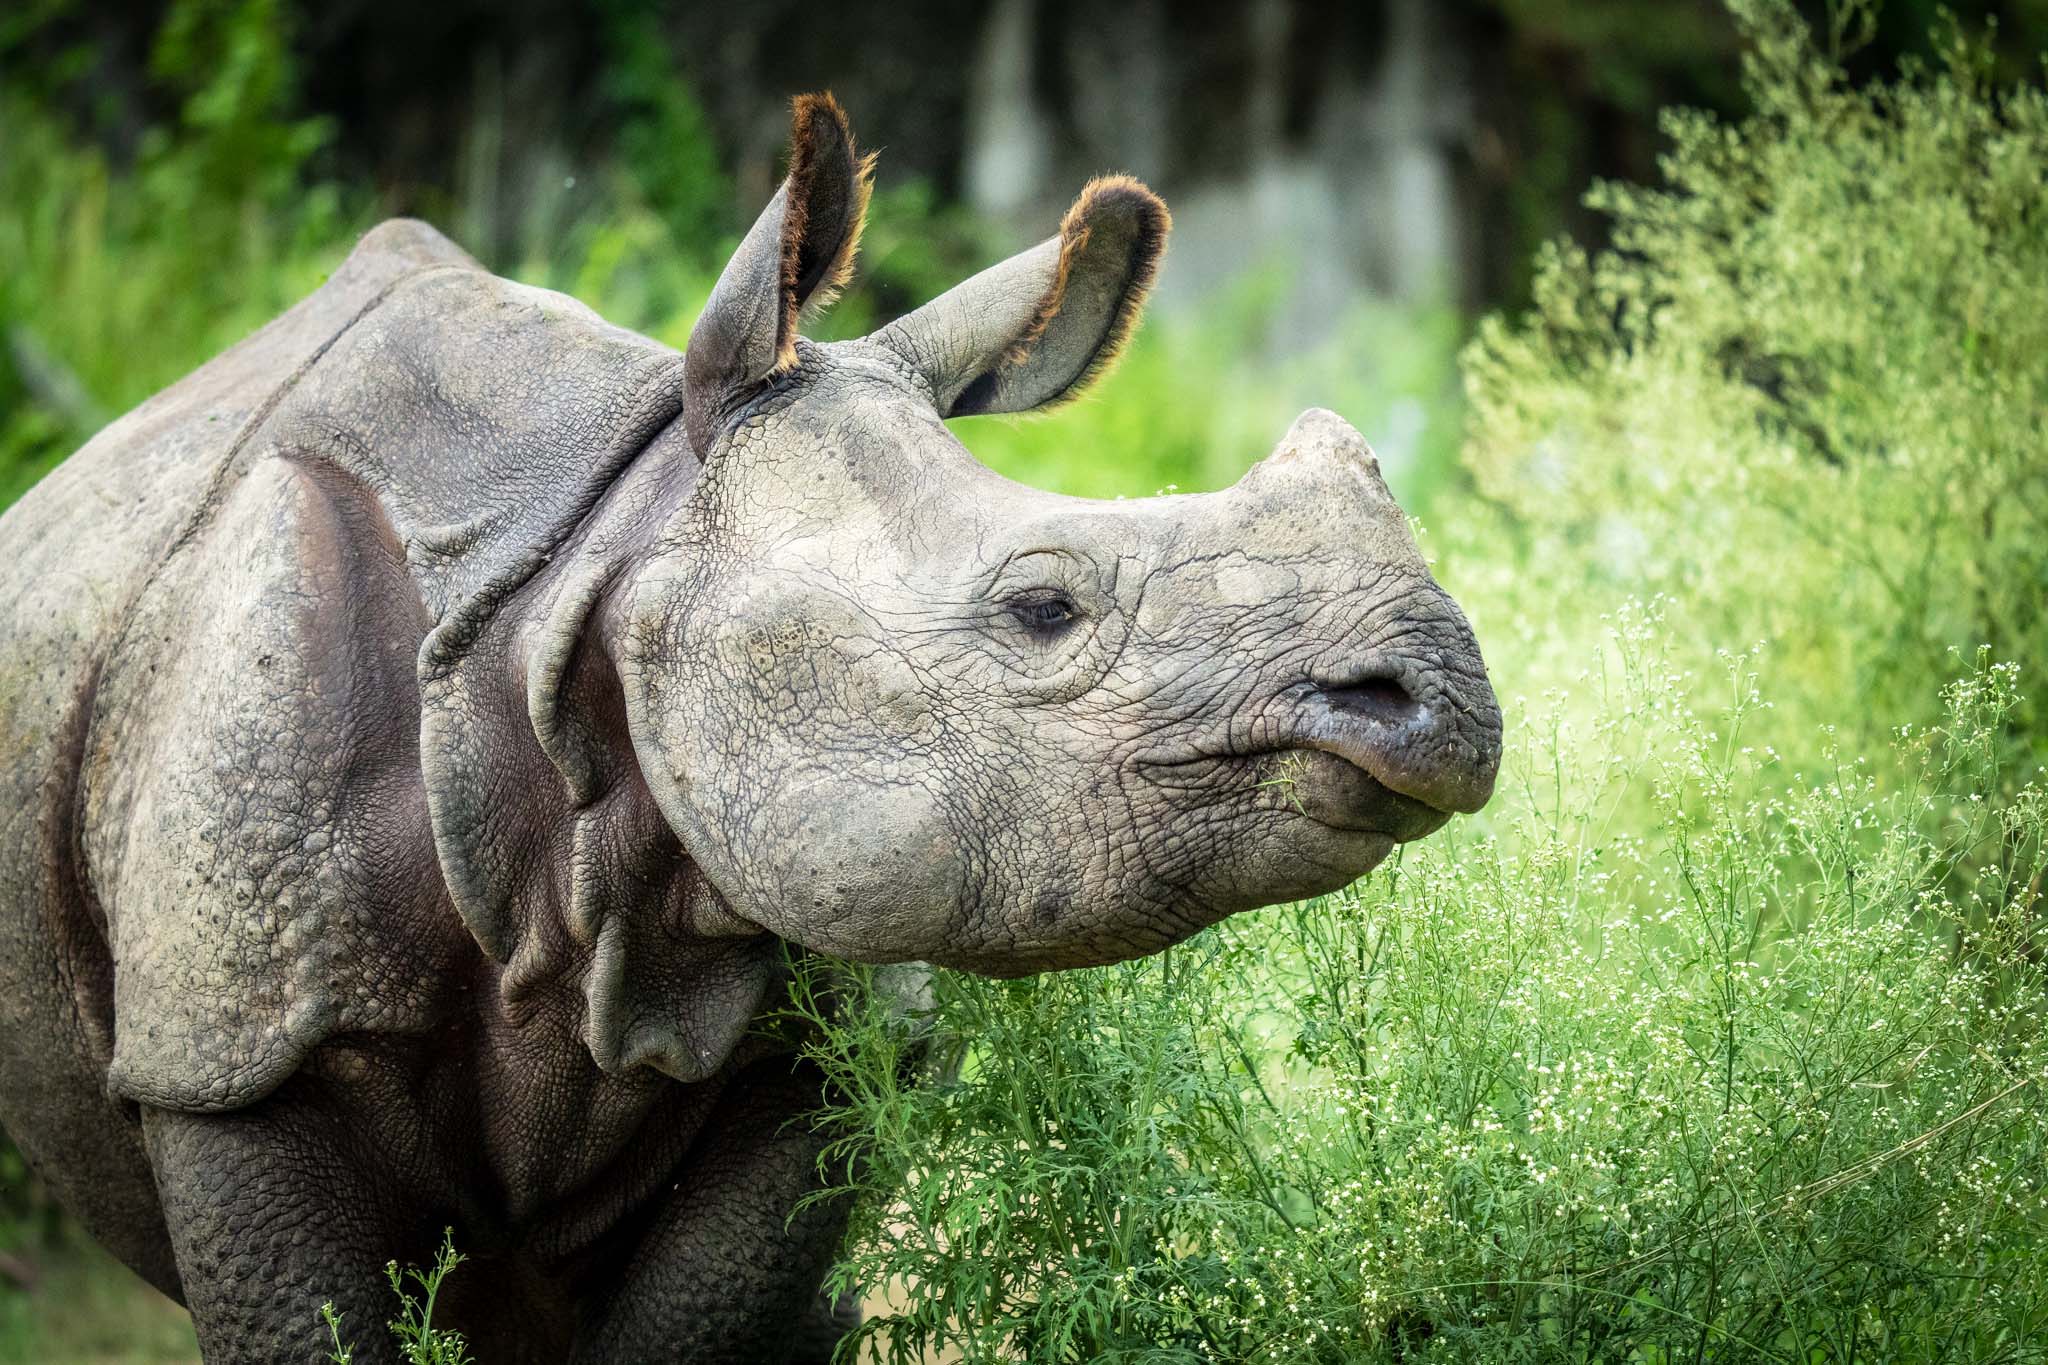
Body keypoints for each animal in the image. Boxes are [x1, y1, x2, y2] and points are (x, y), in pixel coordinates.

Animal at [0, 95, 1500, 1362]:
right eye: (1042, 608)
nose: (1437, 700)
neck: (595, 569)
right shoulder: (230, 1053)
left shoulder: (812, 1040)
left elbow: (698, 1316)